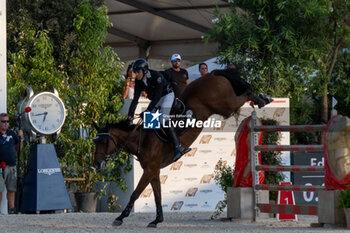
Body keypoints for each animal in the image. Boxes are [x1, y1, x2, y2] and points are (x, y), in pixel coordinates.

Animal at [92, 68, 270, 228]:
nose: (96, 165)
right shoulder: (154, 170)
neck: (140, 138)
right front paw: (157, 220)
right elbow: (157, 197)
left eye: (103, 142)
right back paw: (262, 99)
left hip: (225, 105)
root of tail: (213, 73)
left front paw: (120, 218)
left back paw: (262, 99)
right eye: (95, 142)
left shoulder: (149, 170)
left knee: (245, 94)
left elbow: (135, 193)